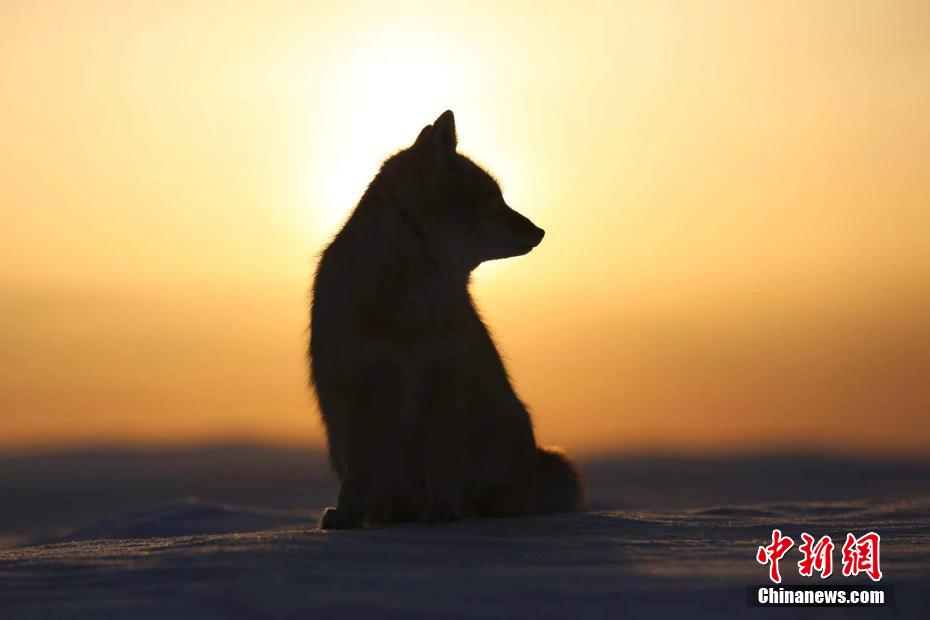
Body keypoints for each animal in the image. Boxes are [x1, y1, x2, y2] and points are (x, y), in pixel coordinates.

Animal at [312, 111, 588, 528]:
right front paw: (346, 516)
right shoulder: (359, 389)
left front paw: (445, 512)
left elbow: (442, 464)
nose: (540, 231)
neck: (409, 300)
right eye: (492, 198)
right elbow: (359, 474)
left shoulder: (445, 386)